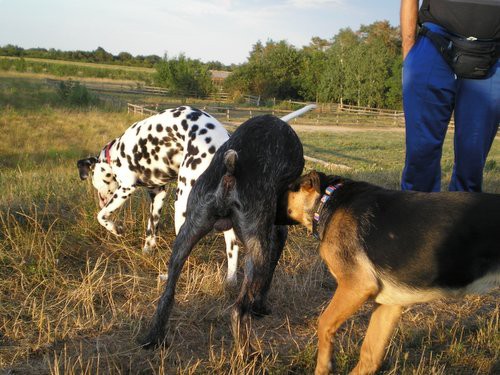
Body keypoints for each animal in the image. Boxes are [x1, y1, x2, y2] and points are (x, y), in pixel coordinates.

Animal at [78, 106, 240, 284]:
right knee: (233, 247)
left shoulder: (126, 188)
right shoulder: (157, 194)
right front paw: (146, 252)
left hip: (181, 206)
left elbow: (101, 216)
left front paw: (116, 229)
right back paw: (231, 280)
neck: (114, 153)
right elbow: (151, 231)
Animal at [139, 112, 306, 350]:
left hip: (185, 237)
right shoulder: (277, 235)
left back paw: (154, 337)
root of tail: (229, 173)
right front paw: (260, 308)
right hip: (259, 251)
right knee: (238, 311)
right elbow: (266, 282)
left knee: (167, 296)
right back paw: (249, 353)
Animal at [286, 172, 500, 374]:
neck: (328, 199)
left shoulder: (355, 286)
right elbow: (369, 356)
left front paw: (324, 366)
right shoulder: (389, 304)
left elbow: (323, 323)